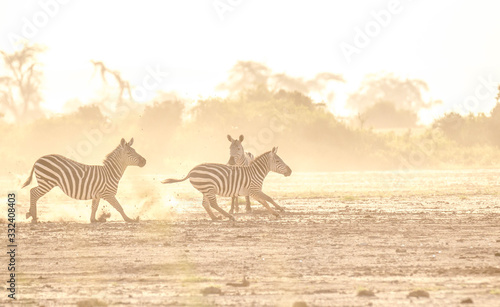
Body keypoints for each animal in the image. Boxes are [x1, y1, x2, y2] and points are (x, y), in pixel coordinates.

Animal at [162, 147, 292, 221]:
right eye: (278, 161)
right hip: (209, 188)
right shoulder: (254, 190)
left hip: (205, 190)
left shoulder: (253, 191)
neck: (255, 172)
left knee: (205, 204)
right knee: (213, 204)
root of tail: (192, 171)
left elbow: (264, 201)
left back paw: (215, 218)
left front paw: (275, 212)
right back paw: (229, 216)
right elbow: (268, 199)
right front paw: (279, 210)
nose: (290, 171)